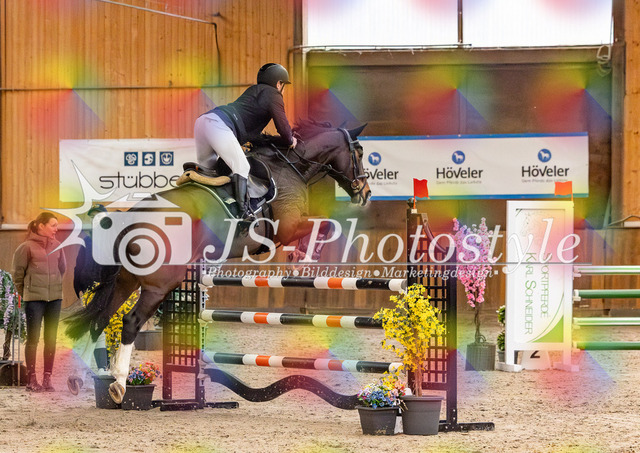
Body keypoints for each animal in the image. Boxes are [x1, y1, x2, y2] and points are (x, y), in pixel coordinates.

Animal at [64, 120, 372, 403]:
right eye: (359, 152)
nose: (365, 192)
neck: (290, 165)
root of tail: (134, 216)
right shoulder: (288, 227)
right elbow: (326, 224)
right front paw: (303, 256)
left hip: (126, 279)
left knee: (100, 316)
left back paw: (80, 378)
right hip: (160, 283)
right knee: (130, 322)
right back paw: (118, 383)